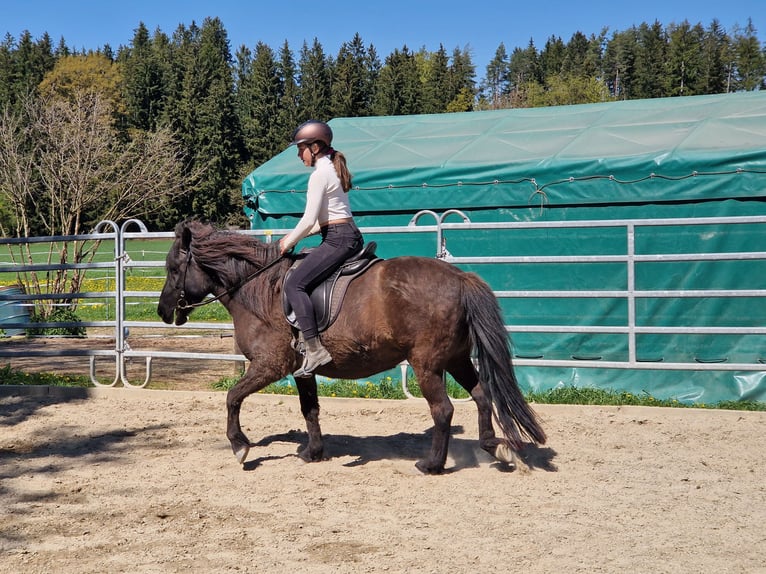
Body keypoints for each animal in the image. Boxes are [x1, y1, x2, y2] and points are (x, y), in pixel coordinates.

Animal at [157, 220, 546, 474]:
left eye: (174, 268)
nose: (163, 311)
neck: (260, 288)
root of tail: (459, 277)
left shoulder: (270, 365)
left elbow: (232, 397)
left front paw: (240, 446)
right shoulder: (302, 371)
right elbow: (310, 410)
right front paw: (313, 452)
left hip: (427, 364)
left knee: (443, 410)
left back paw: (433, 464)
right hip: (456, 358)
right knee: (482, 395)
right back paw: (494, 448)